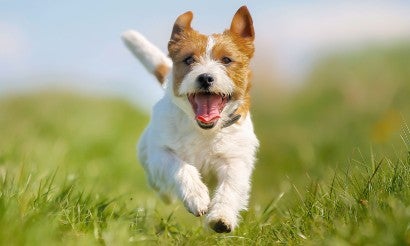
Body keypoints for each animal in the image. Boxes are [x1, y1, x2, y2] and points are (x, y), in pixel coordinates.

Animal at [120, 5, 260, 233]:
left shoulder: (235, 160)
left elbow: (230, 187)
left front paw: (221, 217)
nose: (205, 77)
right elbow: (181, 167)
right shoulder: (161, 153)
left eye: (226, 60)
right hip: (147, 156)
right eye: (188, 60)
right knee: (158, 183)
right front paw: (196, 196)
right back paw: (167, 195)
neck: (203, 130)